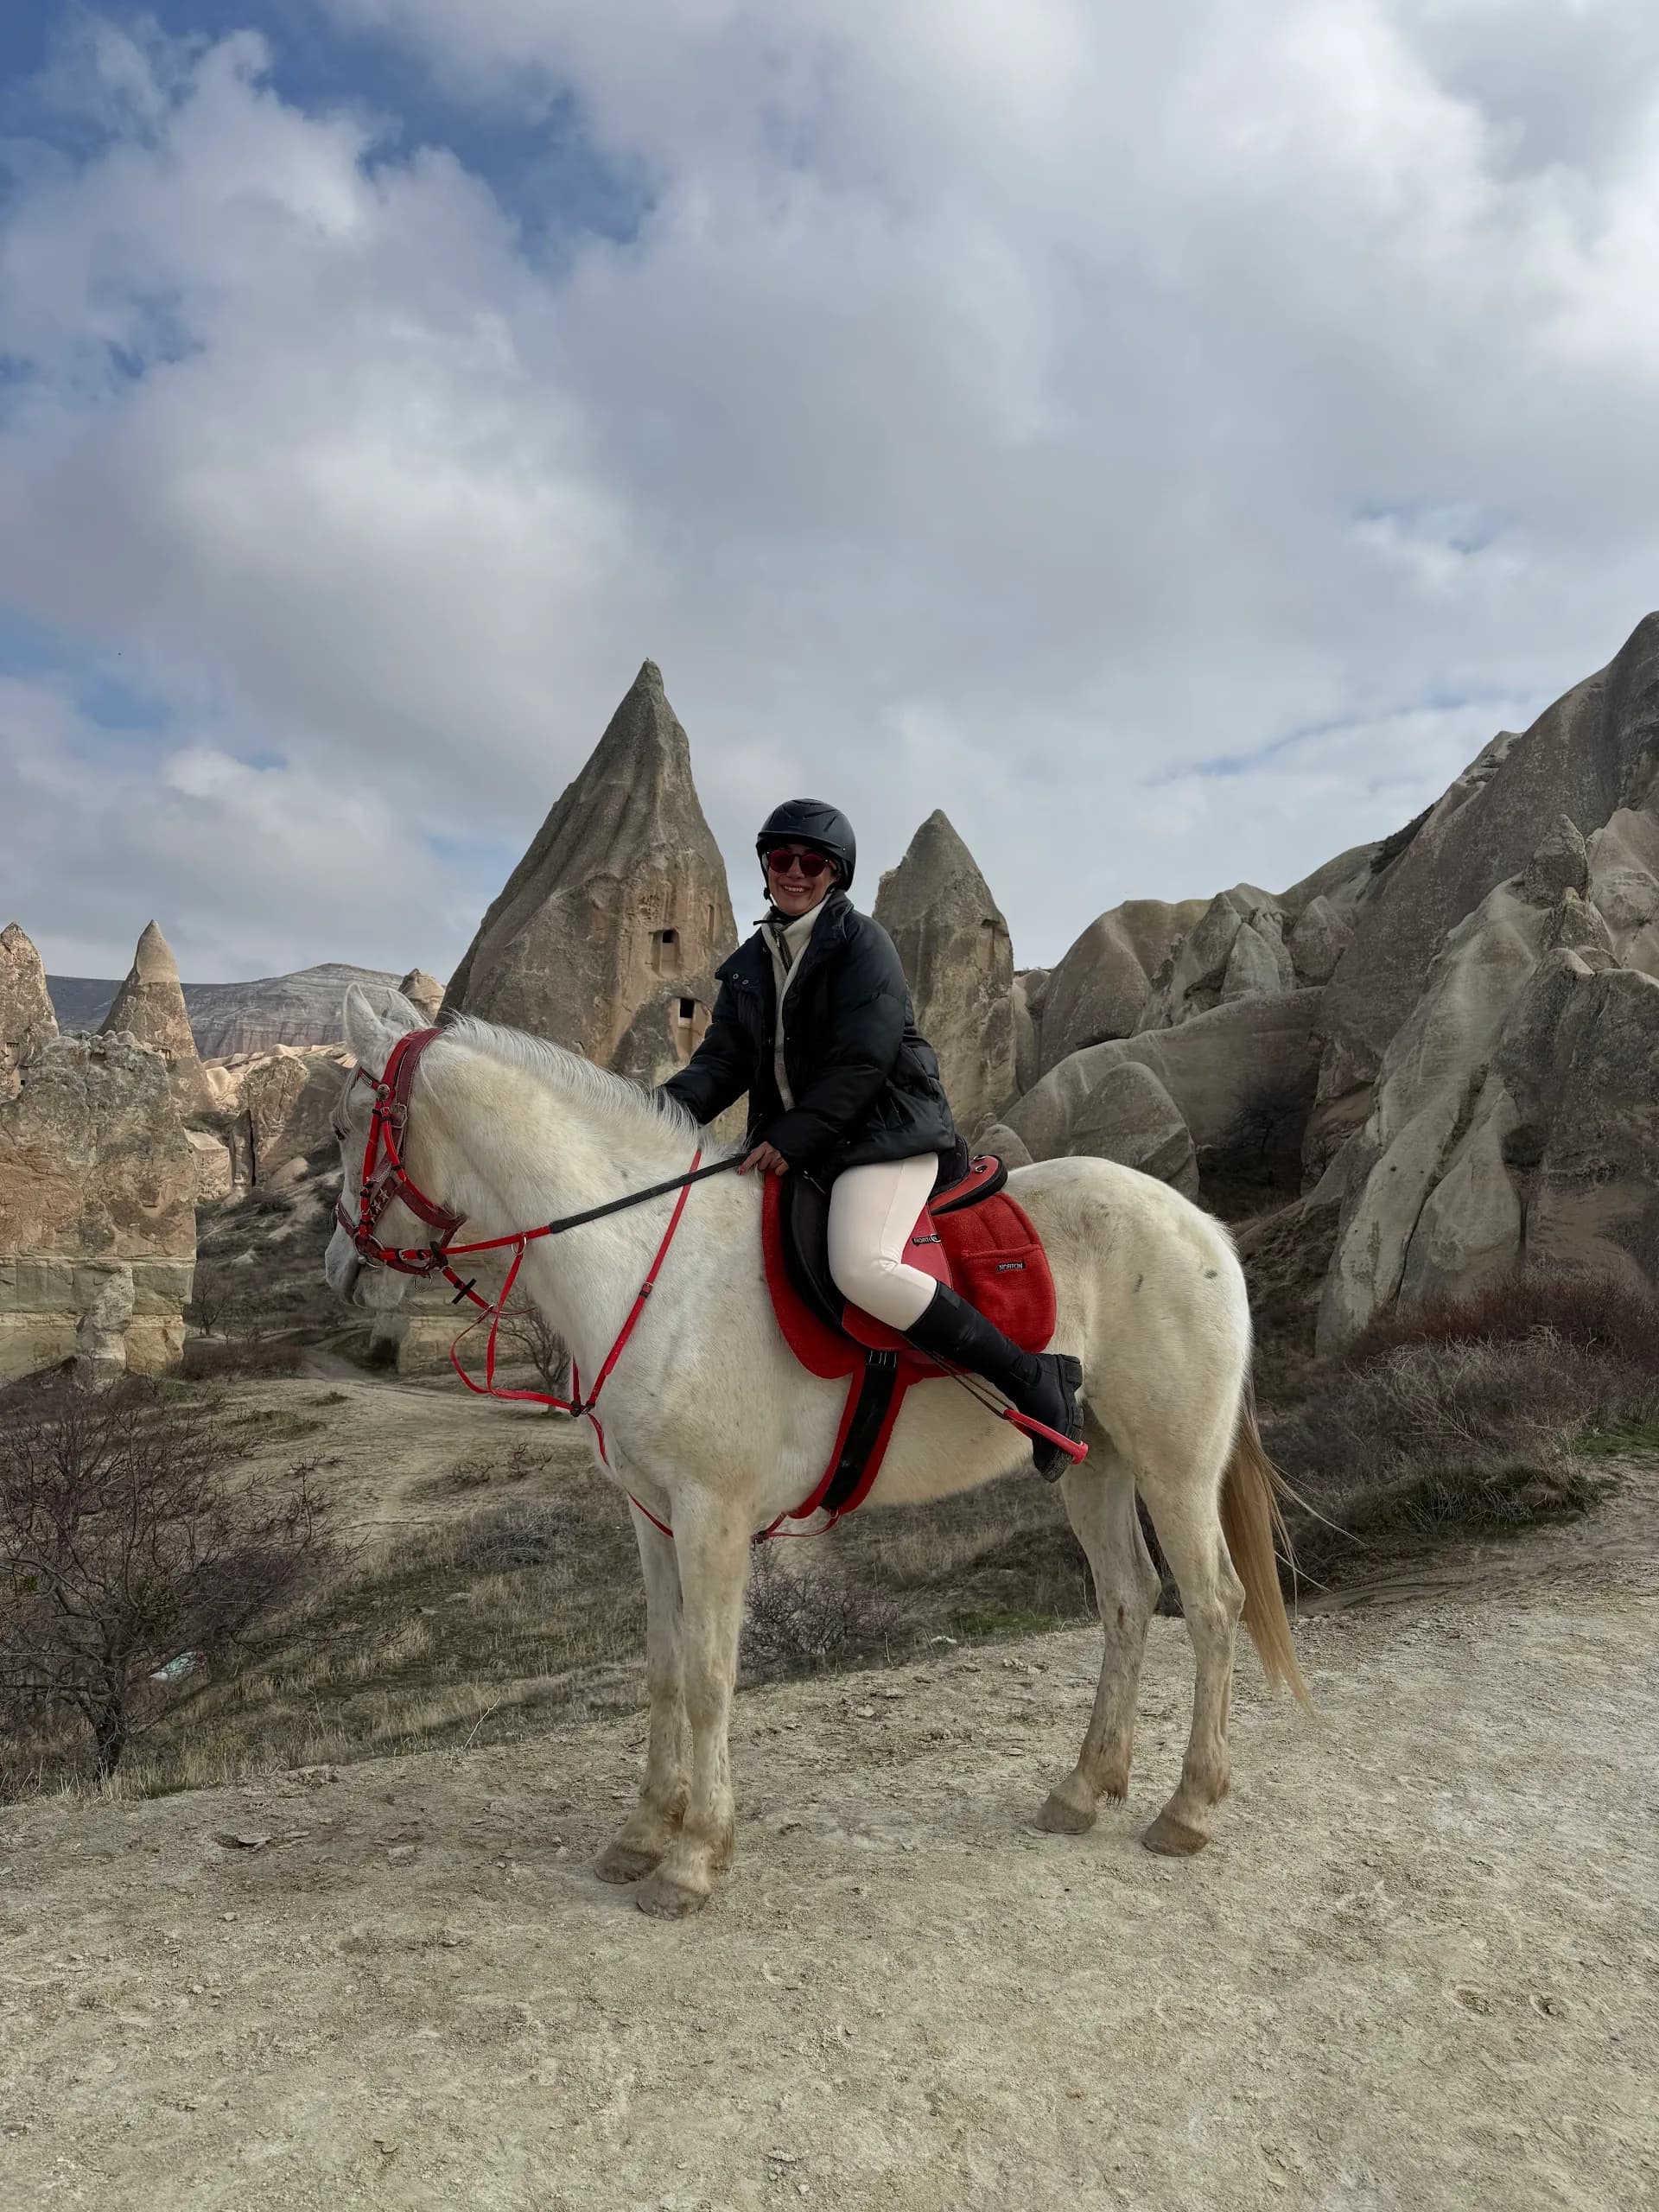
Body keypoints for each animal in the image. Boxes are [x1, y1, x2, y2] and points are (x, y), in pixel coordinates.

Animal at [325, 986, 1308, 1919]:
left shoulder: (713, 1517)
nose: (341, 1268)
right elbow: (664, 1672)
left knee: (1213, 1604)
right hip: (1096, 1465)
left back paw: (1189, 1807)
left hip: (1174, 1468)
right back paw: (1083, 1787)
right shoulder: (652, 1517)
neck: (653, 1263)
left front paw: (693, 1858)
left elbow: (710, 1677)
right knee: (1129, 1599)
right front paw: (642, 1832)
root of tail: (1202, 1227)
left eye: (346, 1125)